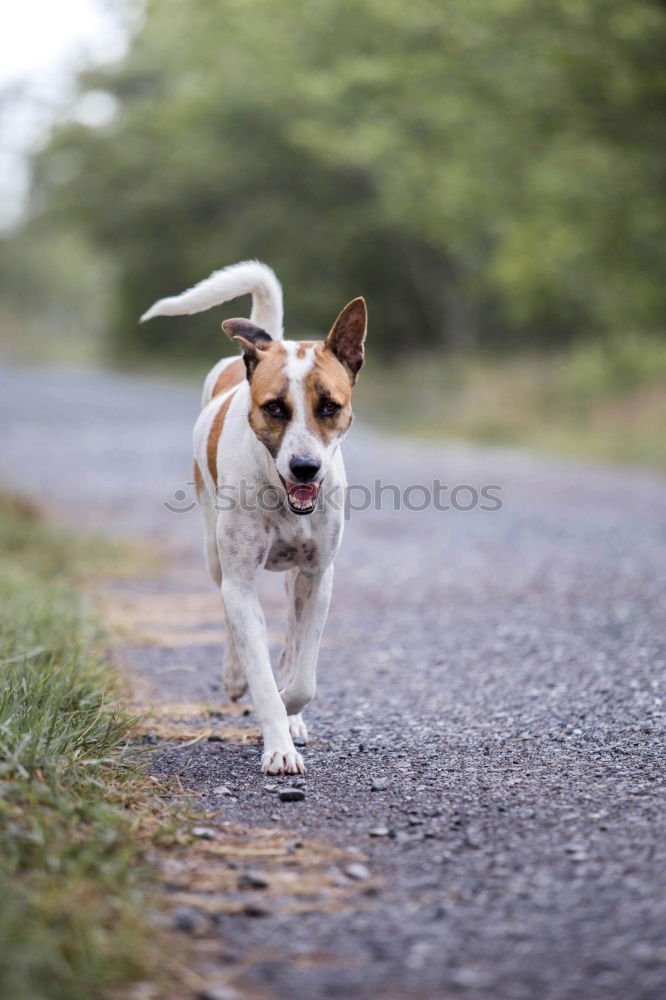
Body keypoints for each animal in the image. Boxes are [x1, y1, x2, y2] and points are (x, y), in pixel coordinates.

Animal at [141, 262, 366, 776]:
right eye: (274, 408)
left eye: (330, 406)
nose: (305, 468)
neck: (282, 495)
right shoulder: (241, 581)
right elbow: (260, 671)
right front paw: (278, 744)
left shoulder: (318, 575)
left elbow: (303, 675)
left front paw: (292, 711)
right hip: (214, 550)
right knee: (232, 616)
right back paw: (234, 676)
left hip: (293, 576)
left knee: (291, 633)